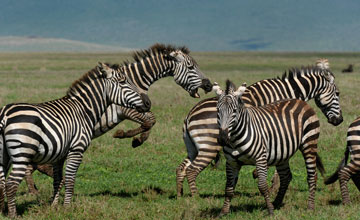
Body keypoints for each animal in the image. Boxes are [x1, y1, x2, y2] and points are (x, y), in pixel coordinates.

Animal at [0, 61, 150, 217]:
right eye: (123, 82)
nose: (148, 102)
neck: (84, 110)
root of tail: (4, 115)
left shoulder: (59, 155)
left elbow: (58, 180)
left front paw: (54, 207)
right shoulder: (76, 150)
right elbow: (70, 179)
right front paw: (67, 208)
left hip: (4, 155)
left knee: (2, 182)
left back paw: (2, 210)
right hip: (22, 153)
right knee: (11, 183)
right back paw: (13, 215)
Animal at [20, 43, 214, 194]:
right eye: (191, 67)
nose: (208, 85)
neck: (134, 81)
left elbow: (151, 120)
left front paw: (137, 138)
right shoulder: (127, 110)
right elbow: (150, 119)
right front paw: (129, 137)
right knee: (29, 166)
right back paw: (34, 191)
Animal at [176, 59, 344, 197]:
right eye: (337, 93)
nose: (340, 120)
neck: (288, 91)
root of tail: (189, 115)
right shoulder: (279, 125)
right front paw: (272, 184)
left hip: (195, 148)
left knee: (181, 168)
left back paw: (180, 196)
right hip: (209, 146)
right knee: (192, 171)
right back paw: (196, 199)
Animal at [212, 80, 324, 216]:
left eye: (234, 110)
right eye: (218, 110)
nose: (223, 138)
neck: (235, 139)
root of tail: (299, 101)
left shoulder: (260, 158)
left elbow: (262, 186)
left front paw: (270, 211)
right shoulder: (231, 162)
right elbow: (228, 188)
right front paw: (223, 212)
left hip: (309, 143)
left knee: (312, 175)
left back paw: (310, 207)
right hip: (282, 152)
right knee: (286, 177)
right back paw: (277, 203)